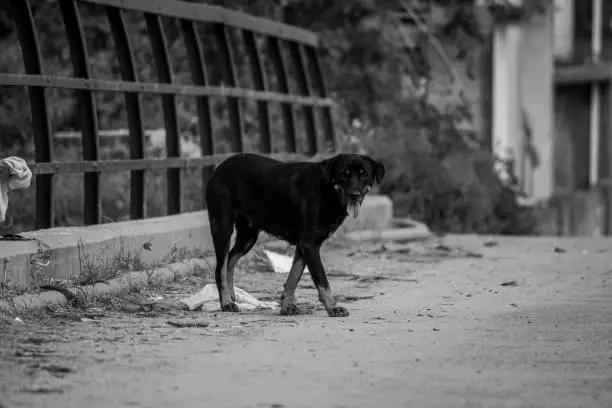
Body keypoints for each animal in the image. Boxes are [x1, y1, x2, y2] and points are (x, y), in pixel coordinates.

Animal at [208, 152, 384, 316]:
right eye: (344, 174)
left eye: (364, 174)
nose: (355, 194)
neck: (326, 191)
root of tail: (220, 167)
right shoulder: (310, 246)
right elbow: (323, 281)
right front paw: (333, 307)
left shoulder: (303, 246)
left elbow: (293, 277)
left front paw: (286, 306)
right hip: (222, 228)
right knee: (220, 268)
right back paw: (226, 302)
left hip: (248, 236)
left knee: (230, 260)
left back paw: (231, 295)